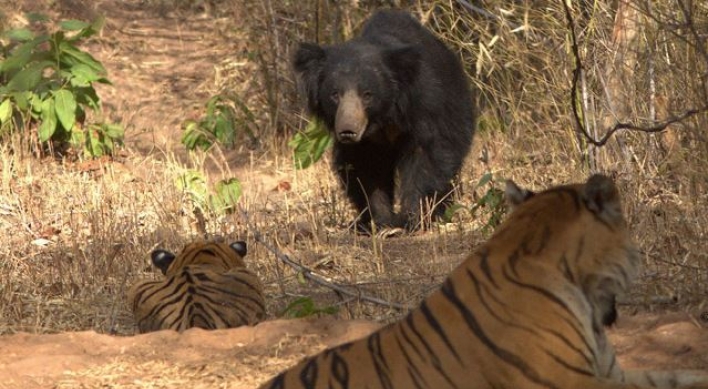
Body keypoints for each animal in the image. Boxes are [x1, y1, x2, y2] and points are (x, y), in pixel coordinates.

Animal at [294, 9, 476, 230]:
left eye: (367, 95)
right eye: (334, 94)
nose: (347, 131)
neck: (383, 120)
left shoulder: (424, 108)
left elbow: (426, 157)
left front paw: (411, 218)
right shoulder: (366, 144)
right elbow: (366, 170)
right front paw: (381, 221)